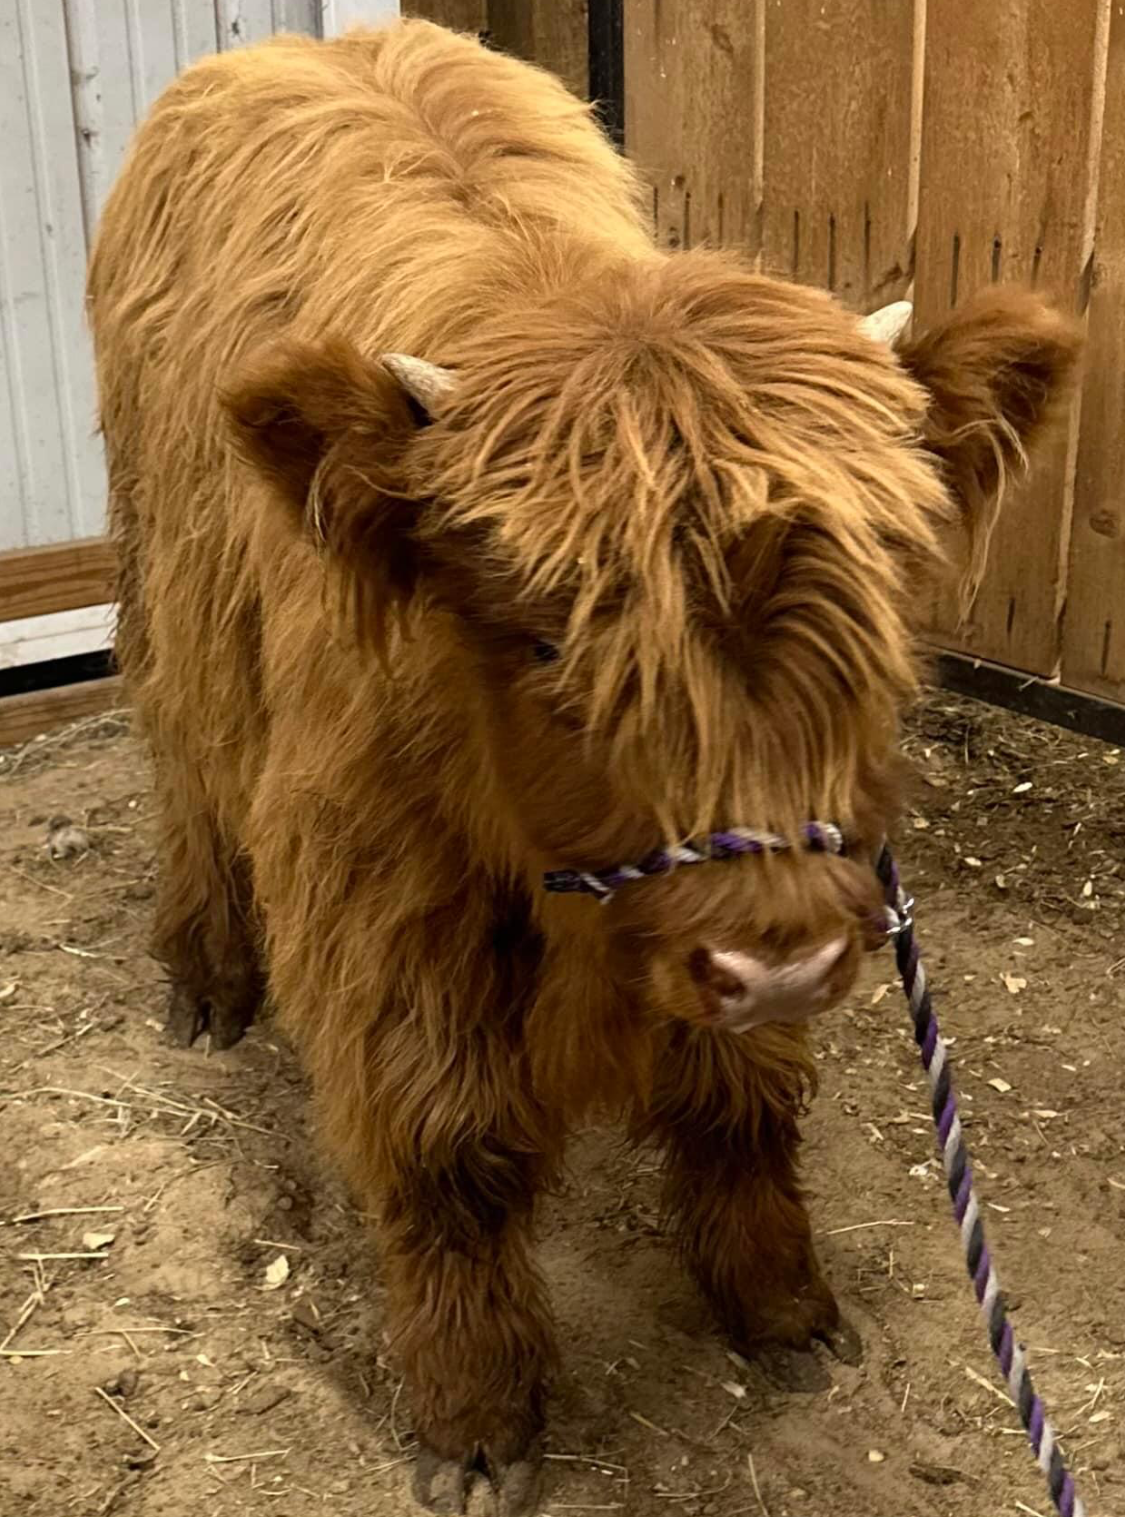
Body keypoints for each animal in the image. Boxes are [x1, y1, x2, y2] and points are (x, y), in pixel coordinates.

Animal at [87, 19, 1079, 1513]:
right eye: (548, 636)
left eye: (877, 607)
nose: (783, 961)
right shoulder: (386, 896)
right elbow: (443, 1149)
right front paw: (473, 1410)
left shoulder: (764, 898)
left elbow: (742, 1099)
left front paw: (779, 1303)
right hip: (171, 584)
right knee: (187, 759)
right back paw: (204, 975)